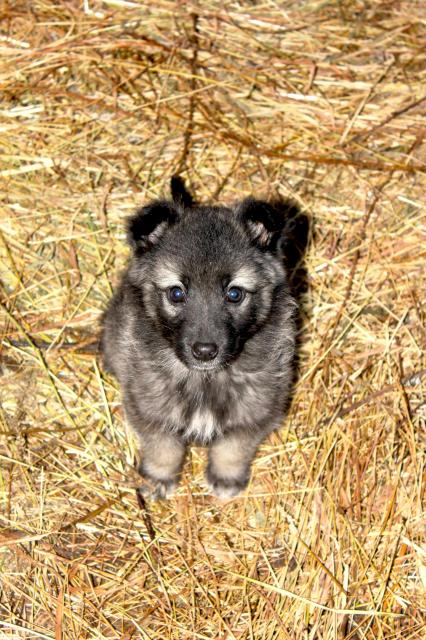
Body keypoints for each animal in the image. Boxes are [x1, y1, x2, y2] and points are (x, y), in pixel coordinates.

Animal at [101, 176, 298, 500]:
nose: (205, 351)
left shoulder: (254, 410)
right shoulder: (151, 409)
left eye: (234, 294)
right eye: (176, 293)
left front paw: (226, 478)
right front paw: (157, 479)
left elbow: (232, 449)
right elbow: (163, 449)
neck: (205, 378)